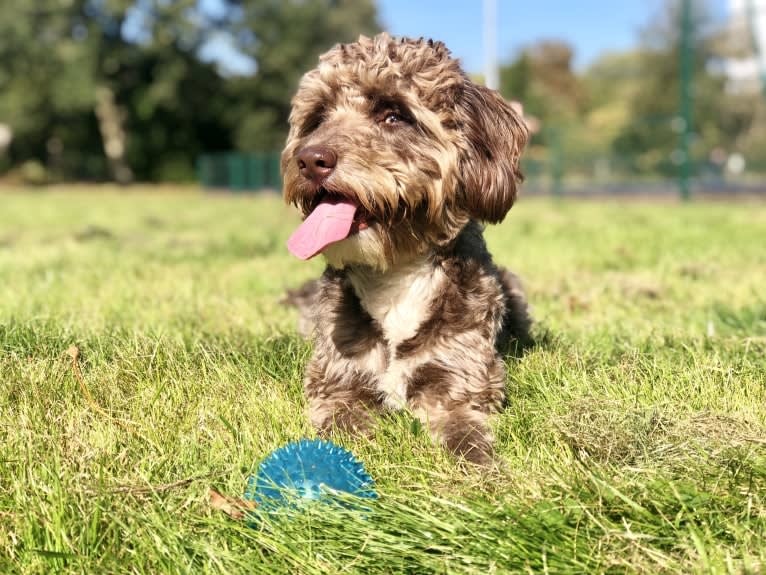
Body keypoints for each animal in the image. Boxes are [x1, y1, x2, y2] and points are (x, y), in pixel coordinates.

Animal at [284, 33, 536, 466]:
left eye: (393, 115)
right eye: (318, 117)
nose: (310, 160)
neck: (394, 271)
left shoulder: (458, 378)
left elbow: (465, 434)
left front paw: (482, 468)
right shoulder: (338, 382)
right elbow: (338, 425)